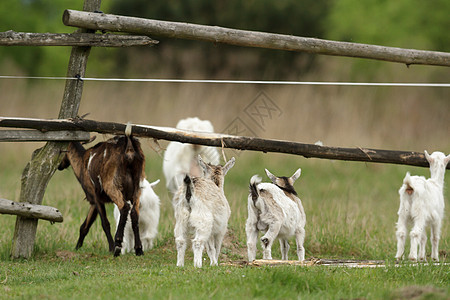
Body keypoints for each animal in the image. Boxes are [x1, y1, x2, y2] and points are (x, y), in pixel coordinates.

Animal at [58, 123, 145, 256]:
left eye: (60, 149)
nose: (59, 166)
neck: (82, 164)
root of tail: (129, 148)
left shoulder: (96, 197)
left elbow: (105, 223)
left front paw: (111, 247)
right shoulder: (93, 202)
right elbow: (84, 226)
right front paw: (77, 248)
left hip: (112, 185)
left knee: (124, 207)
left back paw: (117, 245)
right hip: (137, 187)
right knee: (135, 213)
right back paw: (139, 249)